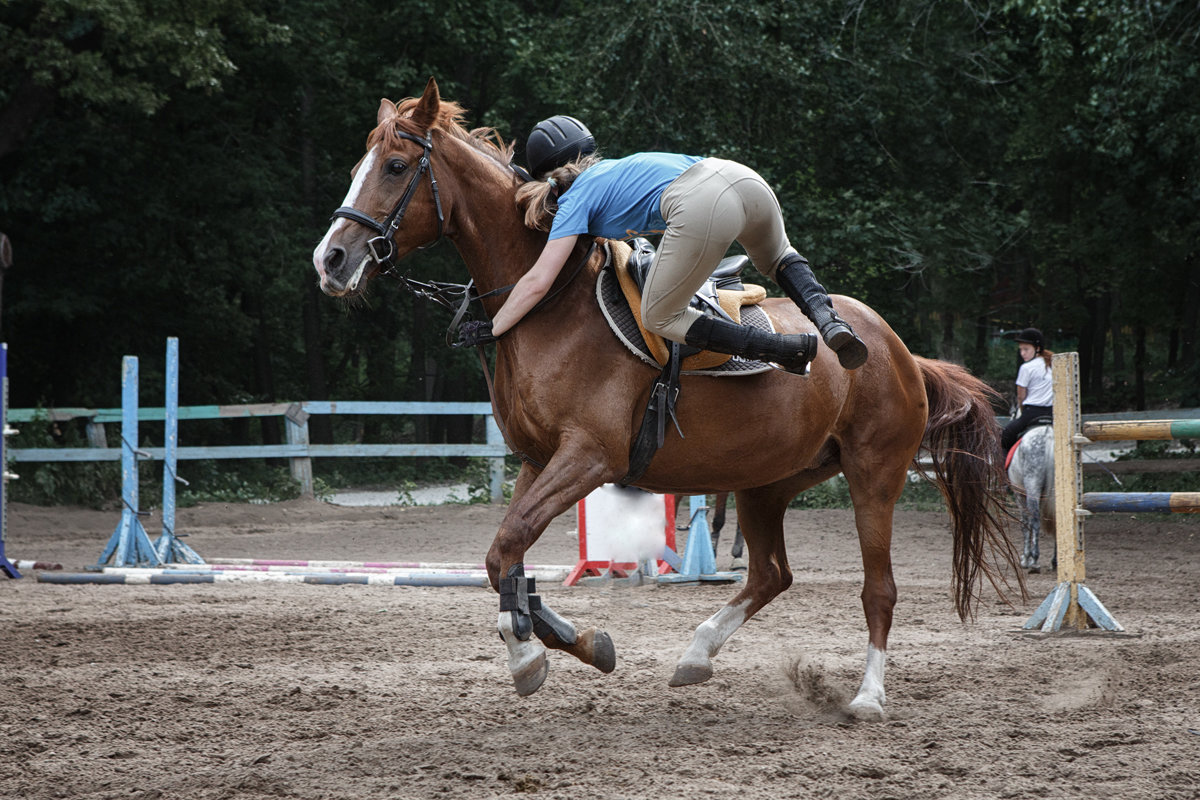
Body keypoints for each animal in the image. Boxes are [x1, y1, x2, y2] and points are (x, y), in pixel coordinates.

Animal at [312, 79, 1022, 719]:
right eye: (354, 170)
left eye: (396, 166)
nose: (332, 260)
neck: (549, 304)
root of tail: (897, 349)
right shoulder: (540, 462)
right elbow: (502, 559)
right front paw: (574, 641)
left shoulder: (588, 458)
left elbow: (507, 549)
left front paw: (529, 653)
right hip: (769, 481)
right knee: (770, 574)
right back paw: (697, 653)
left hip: (874, 475)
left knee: (879, 589)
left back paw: (867, 697)